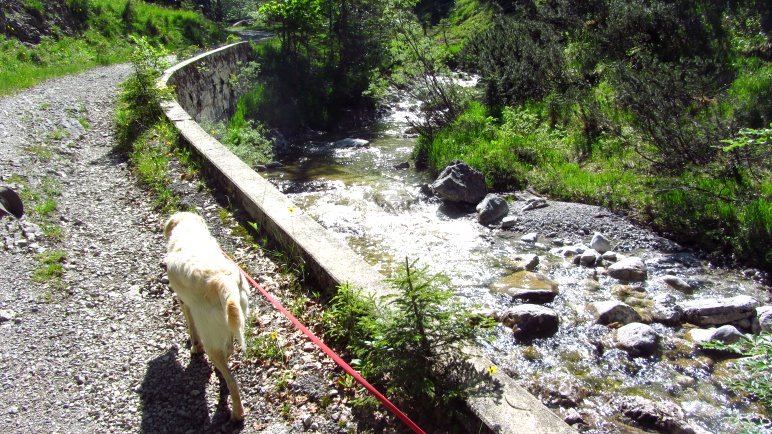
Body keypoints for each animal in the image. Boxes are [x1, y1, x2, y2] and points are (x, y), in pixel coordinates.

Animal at [165, 212, 250, 422]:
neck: (189, 231)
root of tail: (223, 281)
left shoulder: (184, 303)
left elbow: (191, 328)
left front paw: (195, 347)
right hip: (234, 316)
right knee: (228, 348)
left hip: (209, 334)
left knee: (231, 381)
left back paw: (237, 413)